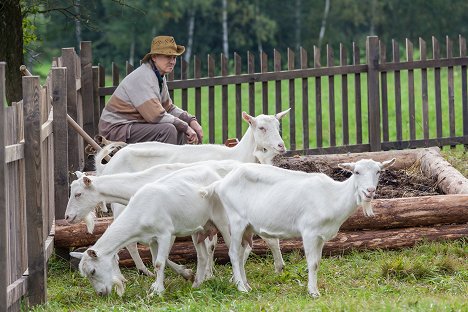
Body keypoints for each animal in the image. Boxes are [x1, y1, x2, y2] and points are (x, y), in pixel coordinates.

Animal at [200, 158, 394, 298]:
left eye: (378, 171)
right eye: (356, 172)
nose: (370, 191)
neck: (331, 196)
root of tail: (220, 183)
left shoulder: (320, 236)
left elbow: (317, 262)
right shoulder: (309, 231)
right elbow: (312, 263)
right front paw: (313, 292)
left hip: (247, 226)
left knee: (241, 253)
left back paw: (246, 284)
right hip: (236, 220)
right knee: (233, 253)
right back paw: (241, 288)